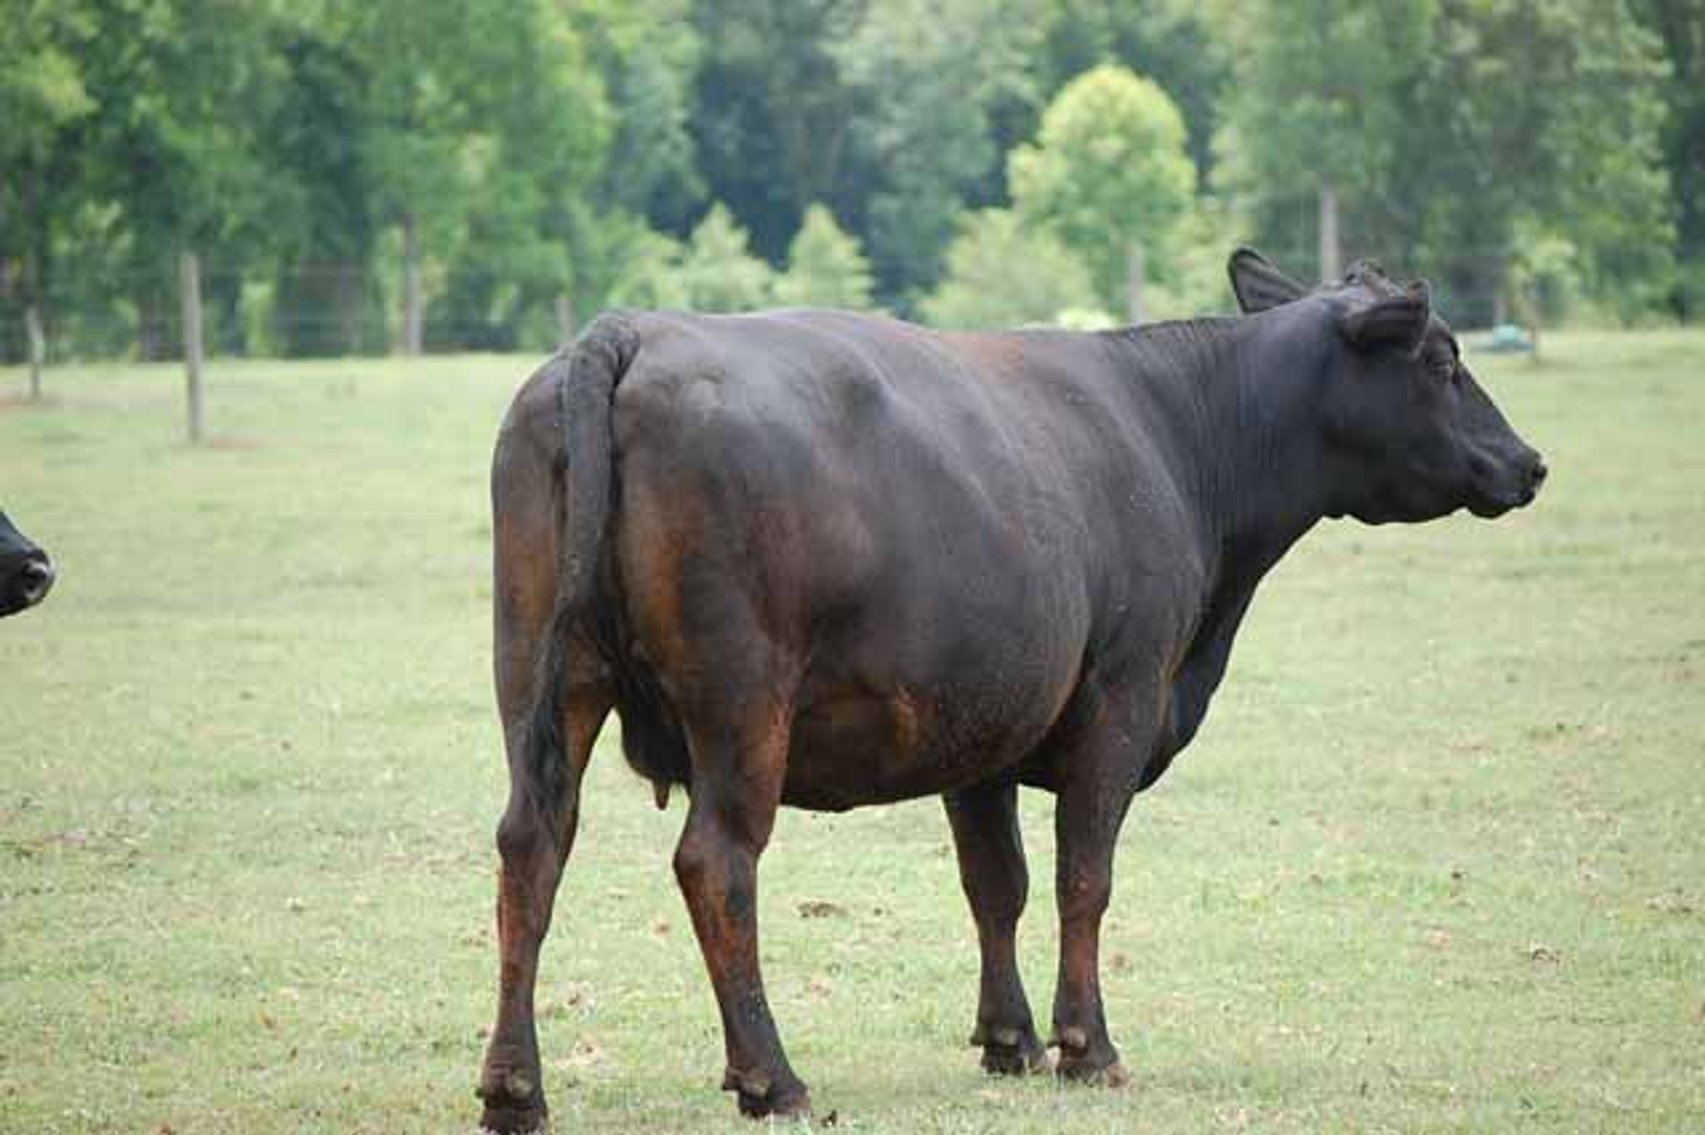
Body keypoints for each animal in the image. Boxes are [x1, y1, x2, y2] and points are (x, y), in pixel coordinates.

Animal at [475, 248, 1546, 1131]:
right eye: (1441, 360)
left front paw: (1009, 1039)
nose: (1528, 460)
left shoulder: (982, 721)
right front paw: (1086, 1045)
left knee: (533, 843)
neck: (1179, 435)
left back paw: (514, 1086)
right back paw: (769, 1077)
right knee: (715, 862)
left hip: (540, 675)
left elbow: (998, 882)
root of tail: (628, 331)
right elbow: (1083, 876)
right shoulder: (1120, 695)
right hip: (741, 710)